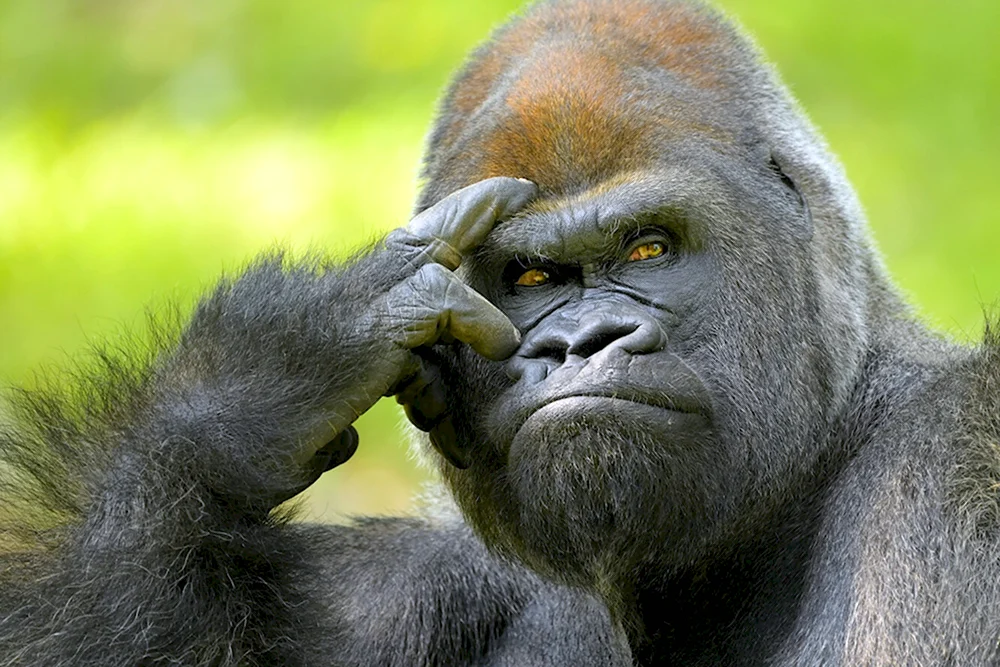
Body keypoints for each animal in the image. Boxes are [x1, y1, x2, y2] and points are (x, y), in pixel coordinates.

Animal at [1, 0, 998, 665]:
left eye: (648, 247)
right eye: (529, 279)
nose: (580, 343)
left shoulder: (955, 460)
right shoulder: (407, 583)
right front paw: (250, 392)